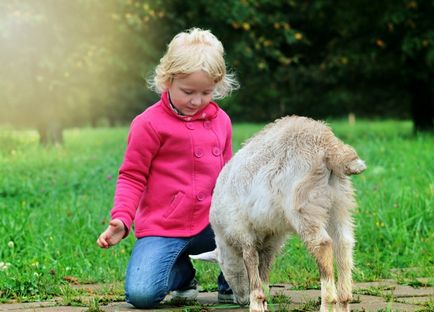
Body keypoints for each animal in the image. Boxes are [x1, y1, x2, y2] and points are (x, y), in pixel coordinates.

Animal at [192, 116, 366, 310]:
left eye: (224, 269)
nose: (242, 301)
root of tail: (328, 144)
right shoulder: (272, 236)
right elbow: (264, 267)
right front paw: (263, 301)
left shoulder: (242, 230)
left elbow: (251, 262)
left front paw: (256, 303)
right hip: (339, 201)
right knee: (344, 243)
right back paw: (344, 300)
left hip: (303, 204)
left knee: (323, 244)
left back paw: (328, 303)